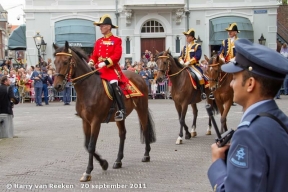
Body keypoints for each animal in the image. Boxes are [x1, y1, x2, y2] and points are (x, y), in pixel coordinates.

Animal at [51, 41, 155, 182]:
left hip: (141, 108)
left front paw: (88, 171)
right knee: (122, 134)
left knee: (145, 128)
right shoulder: (85, 121)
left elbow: (91, 145)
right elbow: (86, 144)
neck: (88, 88)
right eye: (55, 62)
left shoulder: (96, 121)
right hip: (119, 118)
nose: (57, 86)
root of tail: (139, 76)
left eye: (66, 62)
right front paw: (104, 163)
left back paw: (146, 155)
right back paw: (118, 161)